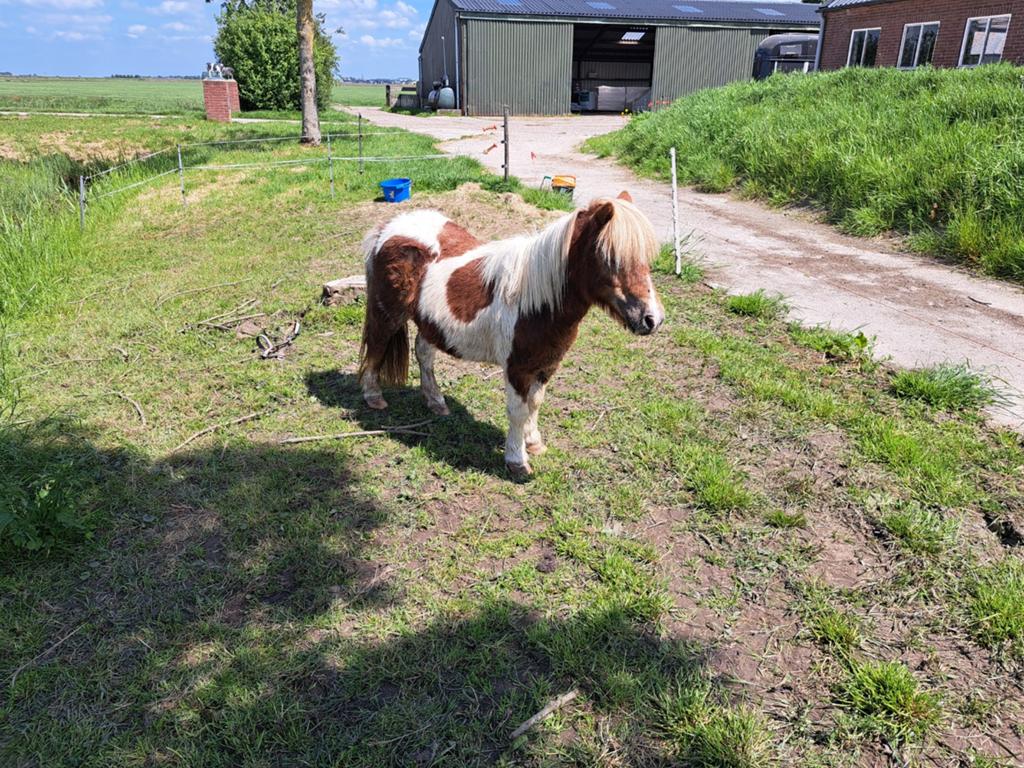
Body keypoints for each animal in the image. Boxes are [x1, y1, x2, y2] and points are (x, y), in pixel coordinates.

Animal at [357, 191, 664, 477]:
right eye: (610, 259)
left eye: (646, 260)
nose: (652, 319)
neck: (534, 300)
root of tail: (389, 227)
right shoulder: (517, 369)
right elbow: (518, 411)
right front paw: (517, 461)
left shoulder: (546, 365)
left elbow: (535, 404)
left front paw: (534, 443)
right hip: (388, 314)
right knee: (377, 346)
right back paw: (374, 397)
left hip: (430, 324)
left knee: (423, 353)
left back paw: (436, 402)